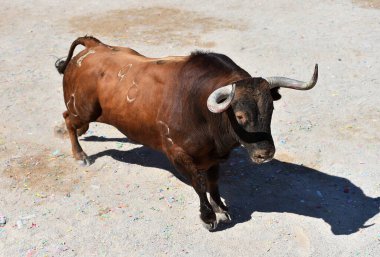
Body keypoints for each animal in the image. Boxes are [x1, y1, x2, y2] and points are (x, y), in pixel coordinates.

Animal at [55, 36, 318, 230]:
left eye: (270, 109)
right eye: (240, 115)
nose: (266, 153)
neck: (202, 110)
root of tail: (94, 46)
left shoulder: (213, 157)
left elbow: (213, 182)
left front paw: (221, 208)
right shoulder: (178, 154)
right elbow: (199, 184)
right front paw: (208, 217)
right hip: (83, 109)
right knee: (68, 119)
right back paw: (80, 155)